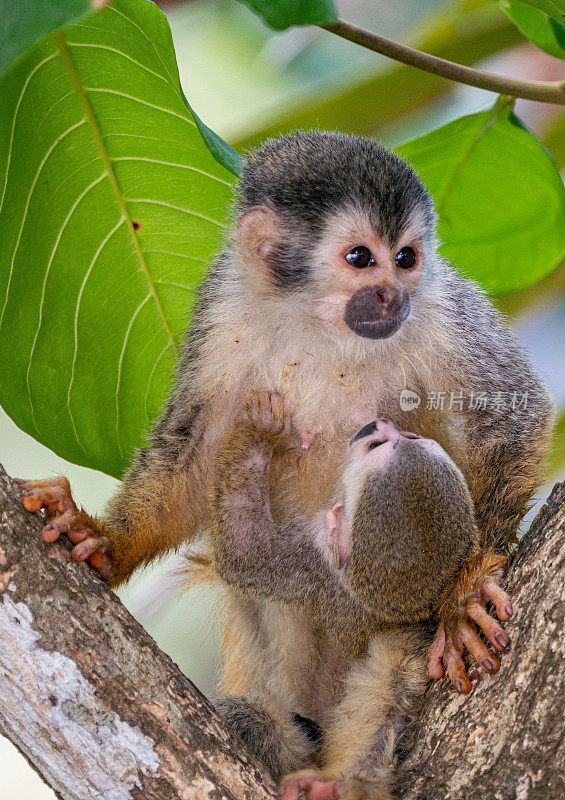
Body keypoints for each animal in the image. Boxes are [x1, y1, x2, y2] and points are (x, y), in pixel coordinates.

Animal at [19, 130, 552, 688]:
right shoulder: (222, 310)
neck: (320, 323)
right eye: (360, 257)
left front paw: (461, 594)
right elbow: (195, 454)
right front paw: (104, 543)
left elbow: (513, 413)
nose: (392, 295)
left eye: (406, 257)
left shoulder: (441, 306)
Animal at [212, 390, 494, 796]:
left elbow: (242, 551)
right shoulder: (412, 633)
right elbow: (393, 699)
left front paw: (256, 433)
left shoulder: (309, 562)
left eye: (375, 445)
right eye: (407, 437)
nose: (378, 425)